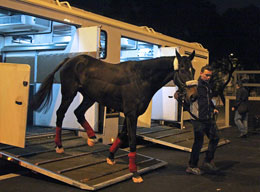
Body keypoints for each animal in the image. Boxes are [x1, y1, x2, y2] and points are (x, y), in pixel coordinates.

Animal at [31, 50, 196, 182]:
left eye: (193, 69)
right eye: (182, 69)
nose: (193, 96)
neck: (141, 78)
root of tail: (70, 60)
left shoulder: (130, 113)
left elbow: (122, 135)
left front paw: (110, 157)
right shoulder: (131, 114)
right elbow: (132, 141)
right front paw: (134, 172)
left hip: (89, 97)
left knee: (78, 112)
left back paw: (92, 137)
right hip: (69, 94)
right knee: (60, 114)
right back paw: (59, 146)